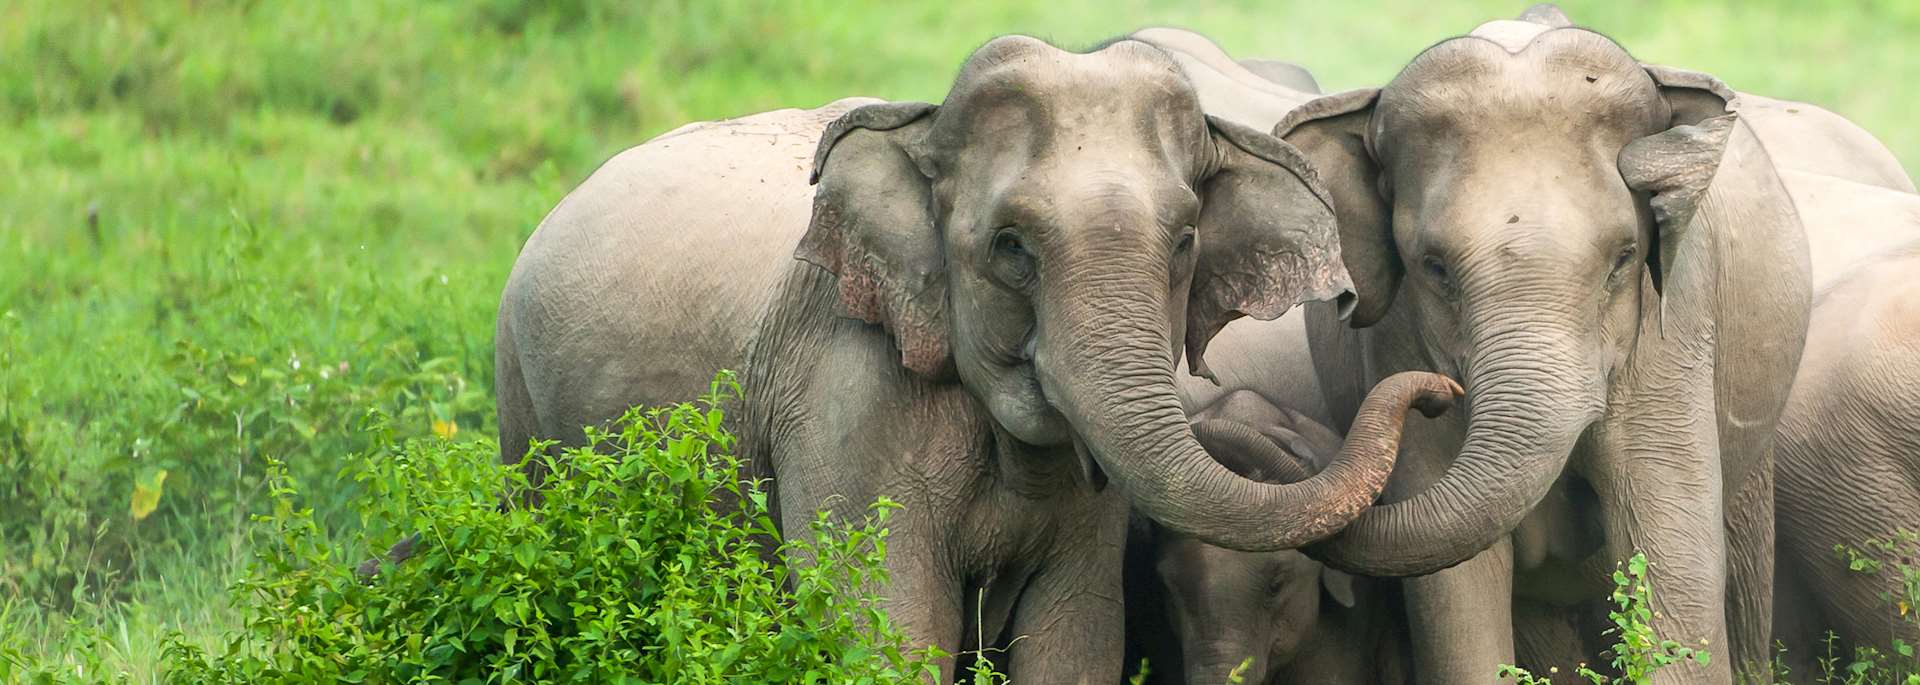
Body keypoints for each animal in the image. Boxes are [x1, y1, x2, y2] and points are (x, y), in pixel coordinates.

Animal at [1263, 8, 1815, 682]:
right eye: (1434, 268)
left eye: (1624, 258)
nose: (1435, 393)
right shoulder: (1399, 334)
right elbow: (1455, 587)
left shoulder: (1674, 323)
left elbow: (1673, 547)